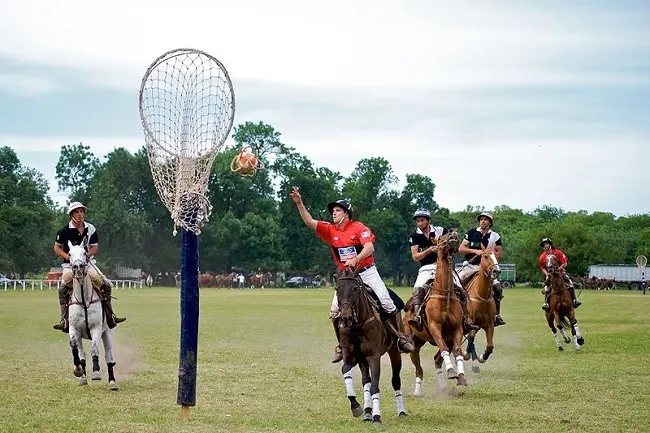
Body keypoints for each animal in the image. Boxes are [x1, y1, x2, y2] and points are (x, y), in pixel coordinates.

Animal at [68, 238, 119, 390]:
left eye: (85, 252)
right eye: (69, 253)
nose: (78, 267)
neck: (84, 300)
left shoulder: (96, 328)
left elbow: (95, 349)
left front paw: (96, 372)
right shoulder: (74, 329)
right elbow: (75, 347)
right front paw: (78, 370)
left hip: (106, 332)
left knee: (109, 357)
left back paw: (112, 382)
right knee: (82, 355)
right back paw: (83, 377)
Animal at [334, 268, 404, 424]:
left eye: (355, 289)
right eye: (337, 289)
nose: (346, 318)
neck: (356, 326)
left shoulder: (373, 356)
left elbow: (375, 387)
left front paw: (377, 417)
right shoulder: (350, 354)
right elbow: (345, 370)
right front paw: (356, 407)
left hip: (394, 351)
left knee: (395, 380)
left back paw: (402, 412)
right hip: (362, 360)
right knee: (366, 381)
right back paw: (367, 411)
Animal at [402, 230, 464, 394]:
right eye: (441, 238)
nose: (453, 232)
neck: (445, 295)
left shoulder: (457, 329)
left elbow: (458, 351)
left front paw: (461, 377)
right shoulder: (435, 327)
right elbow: (443, 349)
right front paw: (452, 372)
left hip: (445, 339)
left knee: (437, 359)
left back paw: (442, 386)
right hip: (414, 343)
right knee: (419, 368)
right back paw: (417, 391)